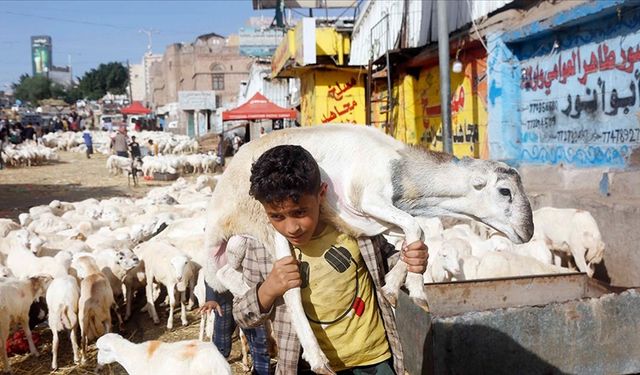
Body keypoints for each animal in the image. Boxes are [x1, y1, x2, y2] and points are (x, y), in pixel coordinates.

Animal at [206, 124, 536, 374]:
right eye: (504, 191)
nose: (528, 231)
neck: (403, 175)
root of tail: (220, 207)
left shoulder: (372, 219)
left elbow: (416, 236)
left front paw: (394, 287)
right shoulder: (369, 199)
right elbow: (416, 228)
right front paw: (414, 291)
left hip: (239, 241)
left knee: (224, 274)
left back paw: (247, 293)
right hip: (267, 223)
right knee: (289, 290)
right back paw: (317, 357)